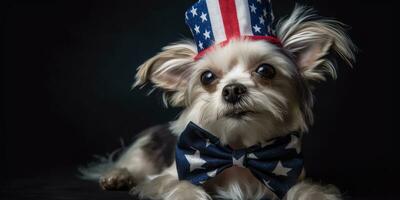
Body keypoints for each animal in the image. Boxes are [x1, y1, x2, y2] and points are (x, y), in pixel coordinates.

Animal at [79, 1, 354, 200]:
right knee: (128, 165)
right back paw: (118, 177)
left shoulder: (288, 175)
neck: (239, 149)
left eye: (266, 70)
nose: (232, 90)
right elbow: (177, 185)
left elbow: (307, 189)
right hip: (144, 151)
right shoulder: (166, 176)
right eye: (207, 77)